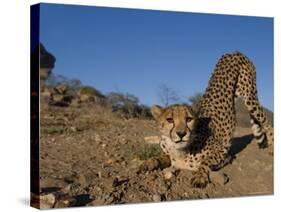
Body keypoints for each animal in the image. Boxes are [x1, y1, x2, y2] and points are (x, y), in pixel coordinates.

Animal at [141, 51, 272, 187]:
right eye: (170, 120)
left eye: (189, 119)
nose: (181, 134)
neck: (180, 151)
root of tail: (234, 52)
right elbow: (161, 157)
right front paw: (148, 162)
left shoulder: (225, 155)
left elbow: (205, 162)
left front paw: (199, 176)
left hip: (250, 97)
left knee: (267, 123)